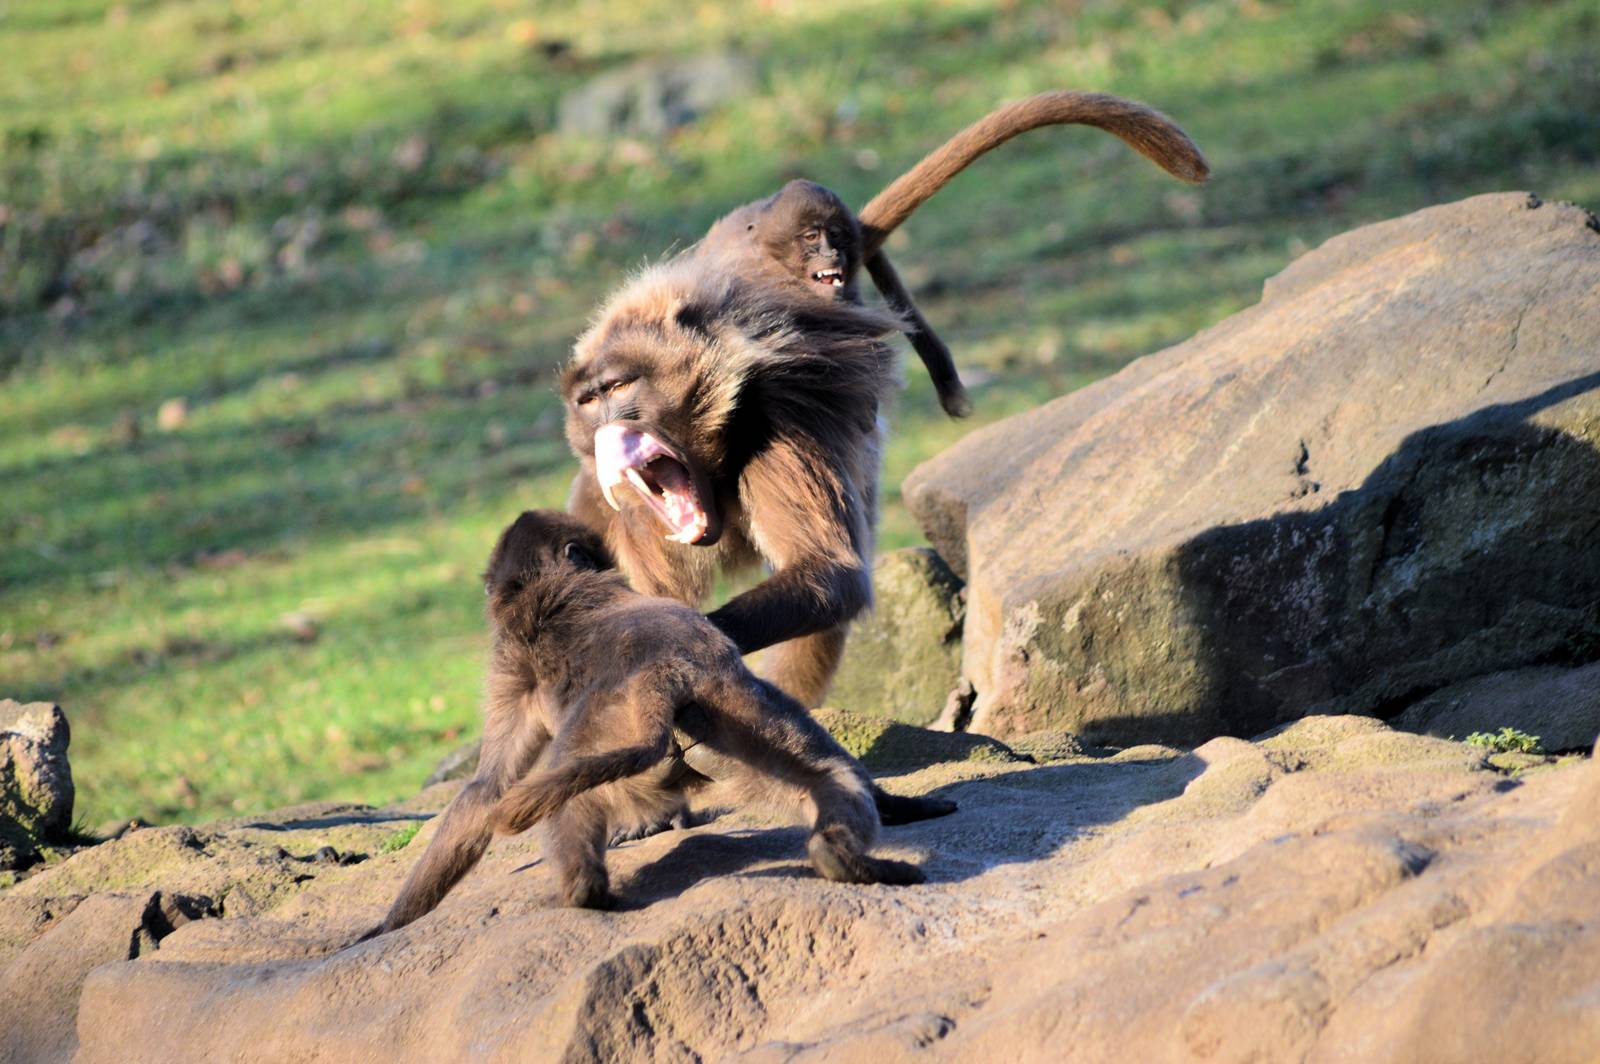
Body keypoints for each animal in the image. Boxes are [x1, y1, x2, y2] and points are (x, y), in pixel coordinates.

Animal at [368, 510, 923, 933]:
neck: (539, 592)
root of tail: (661, 674)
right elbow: (490, 786)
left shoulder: (509, 660)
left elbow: (488, 786)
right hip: (726, 708)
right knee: (828, 775)